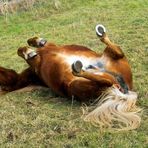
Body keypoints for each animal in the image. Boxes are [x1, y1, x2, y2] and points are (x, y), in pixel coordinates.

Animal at [0, 24, 141, 130]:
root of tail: (125, 90)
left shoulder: (41, 57)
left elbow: (27, 47)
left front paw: (32, 46)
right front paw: (30, 48)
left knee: (113, 66)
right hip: (78, 83)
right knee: (109, 76)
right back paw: (82, 67)